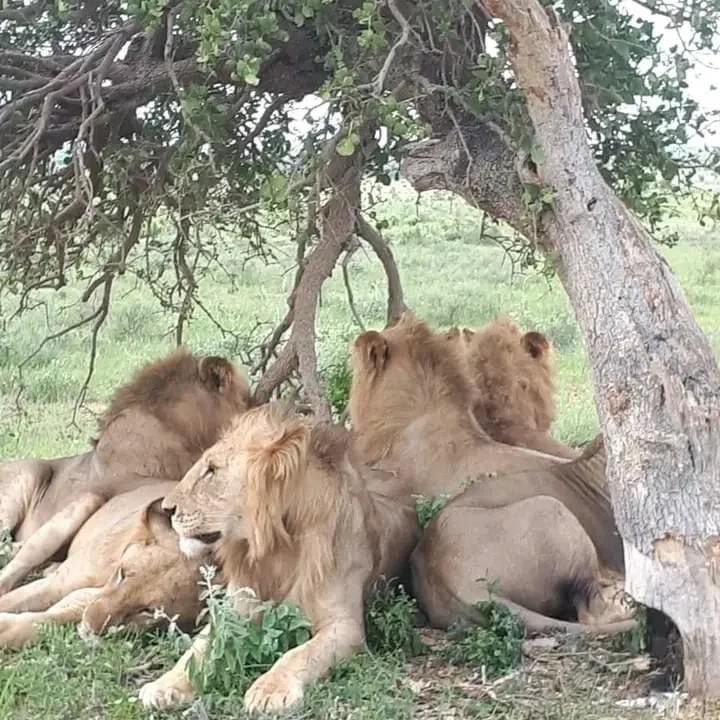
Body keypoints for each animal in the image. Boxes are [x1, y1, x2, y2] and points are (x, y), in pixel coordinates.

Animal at [0, 484, 211, 648]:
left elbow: (50, 619)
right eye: (123, 573)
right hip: (87, 501)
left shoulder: (85, 602)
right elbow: (12, 600)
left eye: (149, 611)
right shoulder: (57, 586)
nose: (90, 626)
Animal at [139, 404, 420, 716]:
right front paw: (164, 686)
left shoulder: (345, 625)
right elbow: (196, 652)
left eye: (212, 470)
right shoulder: (234, 612)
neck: (275, 550)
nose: (167, 508)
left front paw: (269, 691)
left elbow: (299, 654)